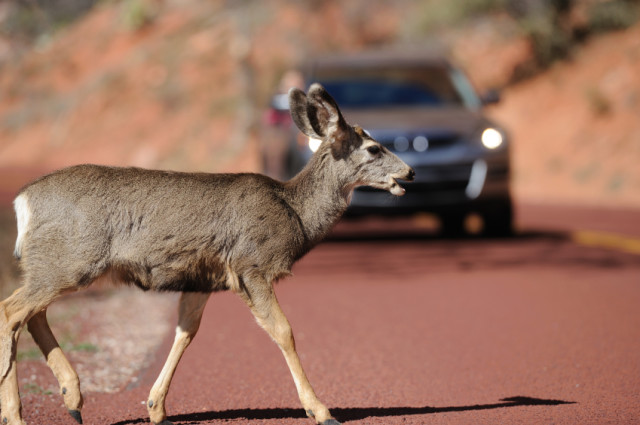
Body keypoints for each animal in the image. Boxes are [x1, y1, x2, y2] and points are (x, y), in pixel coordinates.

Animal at [0, 83, 416, 424]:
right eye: (373, 148)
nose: (410, 173)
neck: (294, 212)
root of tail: (22, 201)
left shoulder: (202, 278)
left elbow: (186, 332)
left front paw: (157, 409)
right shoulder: (251, 265)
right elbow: (284, 331)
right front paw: (322, 410)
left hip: (55, 265)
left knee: (32, 314)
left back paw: (72, 397)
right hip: (69, 260)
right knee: (11, 310)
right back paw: (17, 415)